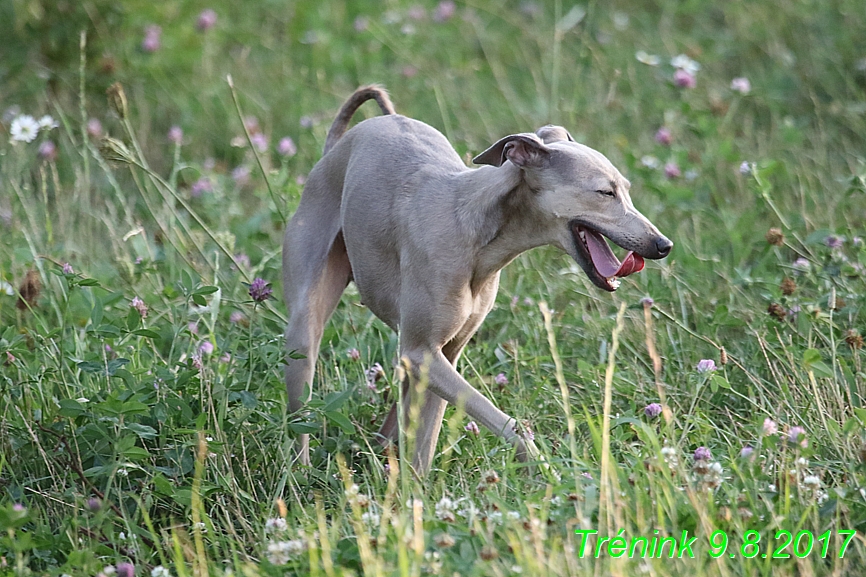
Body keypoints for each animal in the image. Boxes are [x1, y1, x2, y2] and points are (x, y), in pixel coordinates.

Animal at [280, 85, 672, 472]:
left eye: (626, 188)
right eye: (605, 192)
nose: (663, 245)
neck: (475, 231)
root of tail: (336, 147)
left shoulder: (442, 356)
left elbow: (424, 443)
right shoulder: (423, 354)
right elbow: (506, 425)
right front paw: (539, 460)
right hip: (304, 331)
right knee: (301, 405)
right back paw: (302, 471)